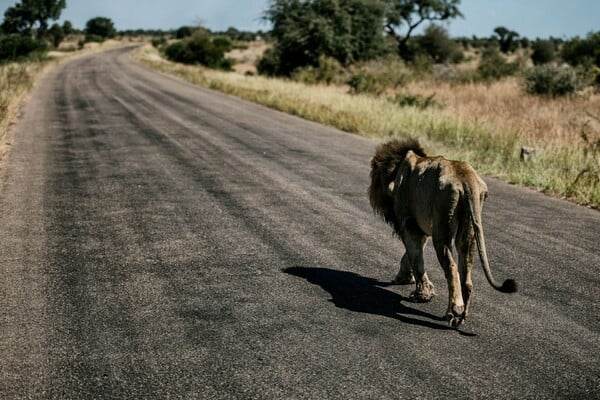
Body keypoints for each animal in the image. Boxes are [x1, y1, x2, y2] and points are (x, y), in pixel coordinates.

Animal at [368, 139, 516, 326]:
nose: (371, 194)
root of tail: (466, 178)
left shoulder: (409, 224)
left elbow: (416, 258)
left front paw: (422, 294)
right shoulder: (420, 226)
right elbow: (410, 256)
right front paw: (405, 278)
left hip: (442, 226)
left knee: (452, 268)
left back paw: (453, 311)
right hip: (468, 229)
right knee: (466, 276)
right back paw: (461, 317)